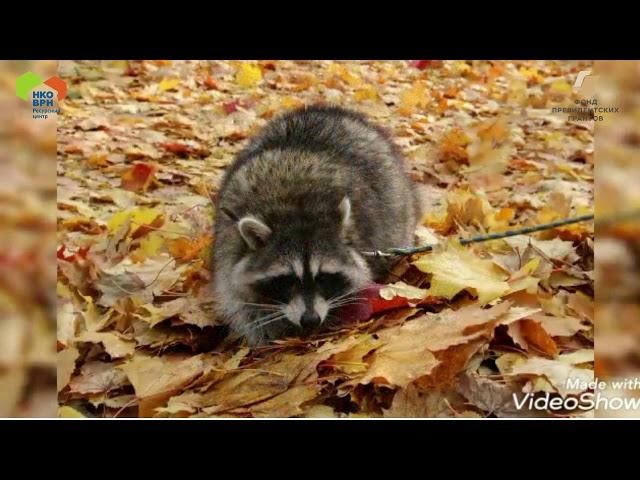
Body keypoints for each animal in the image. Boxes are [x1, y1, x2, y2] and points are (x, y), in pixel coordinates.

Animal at [212, 105, 422, 344]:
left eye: (323, 277)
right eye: (287, 280)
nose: (310, 320)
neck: (295, 208)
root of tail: (329, 109)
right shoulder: (228, 240)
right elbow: (239, 296)